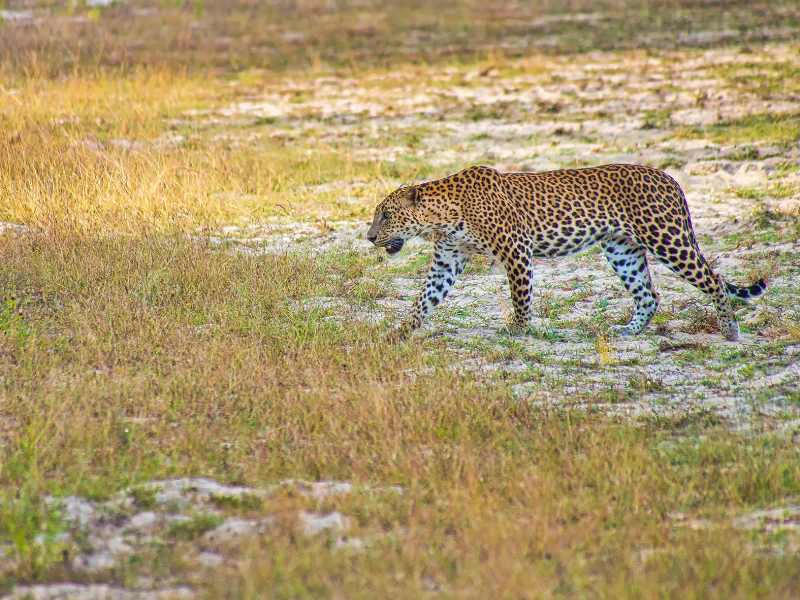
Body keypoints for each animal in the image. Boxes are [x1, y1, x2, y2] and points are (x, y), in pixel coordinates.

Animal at [366, 164, 766, 342]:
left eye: (386, 215)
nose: (369, 238)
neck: (443, 215)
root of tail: (670, 178)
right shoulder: (447, 260)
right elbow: (424, 299)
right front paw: (398, 332)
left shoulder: (516, 249)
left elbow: (521, 296)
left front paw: (519, 331)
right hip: (622, 250)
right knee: (649, 293)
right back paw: (629, 331)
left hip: (667, 238)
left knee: (714, 280)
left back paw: (730, 330)